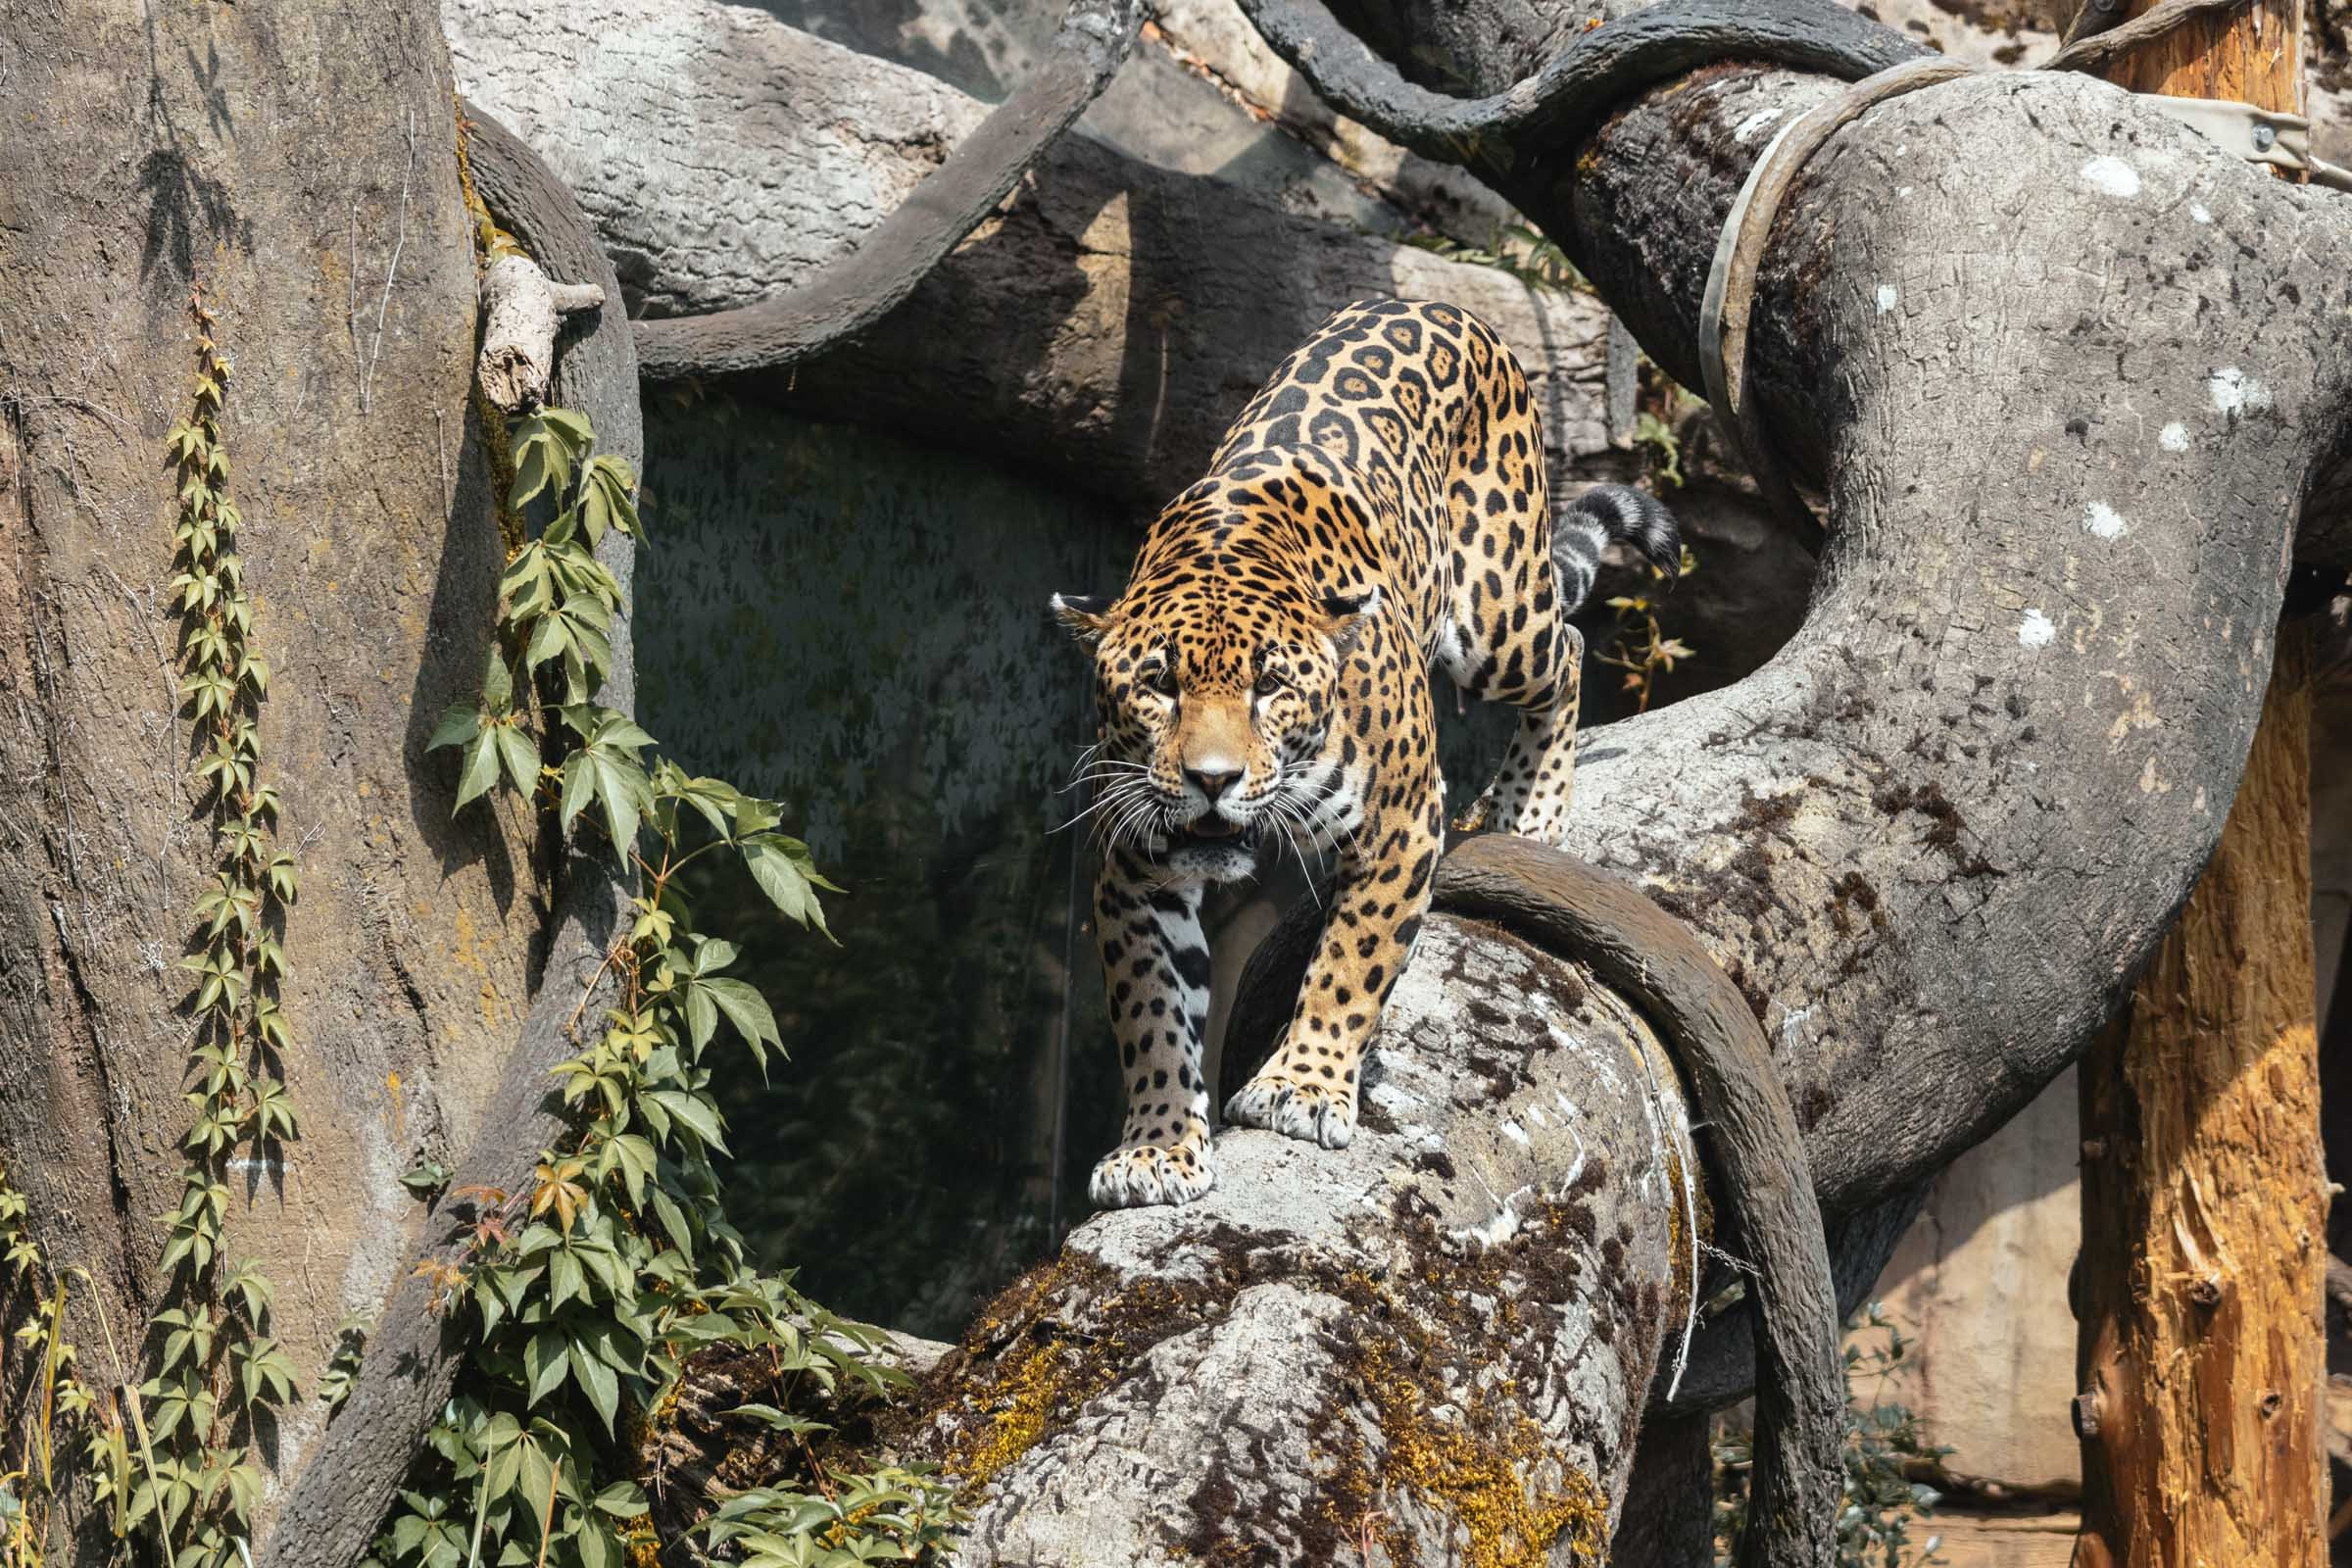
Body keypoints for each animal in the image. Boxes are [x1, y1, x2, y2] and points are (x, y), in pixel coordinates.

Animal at [1051, 297, 1678, 1209]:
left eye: (1270, 686)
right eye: (1159, 686)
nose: (1212, 781)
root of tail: (1437, 304)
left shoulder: (1403, 819)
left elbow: (1350, 961)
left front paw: (1302, 1087)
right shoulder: (1135, 866)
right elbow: (1152, 1014)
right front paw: (1157, 1148)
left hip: (1498, 617)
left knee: (1564, 646)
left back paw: (1531, 807)